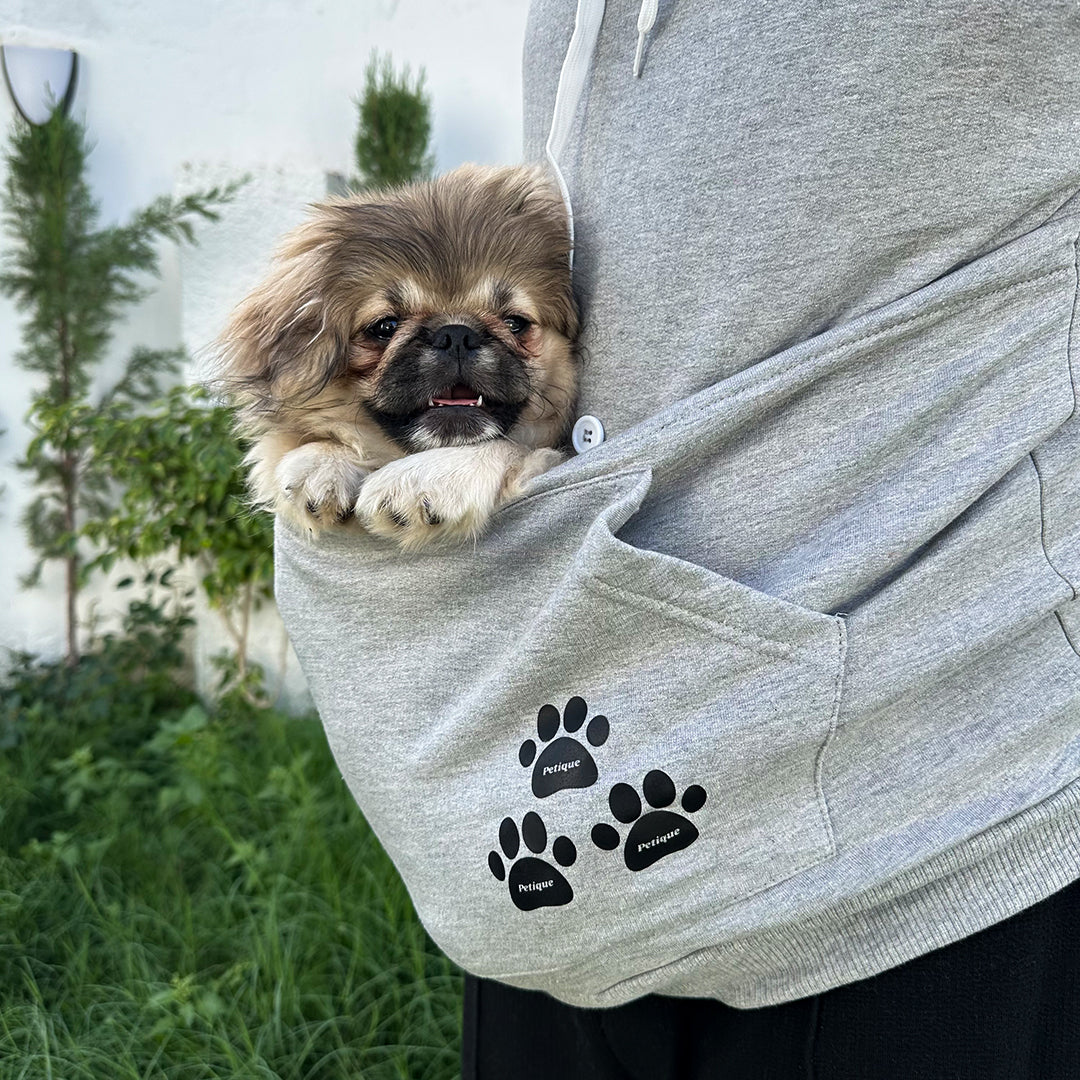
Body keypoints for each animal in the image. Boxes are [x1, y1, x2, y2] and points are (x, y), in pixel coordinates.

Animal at [213, 164, 578, 552]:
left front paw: (433, 475)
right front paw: (322, 461)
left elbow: (515, 448)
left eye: (514, 323)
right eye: (385, 326)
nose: (457, 335)